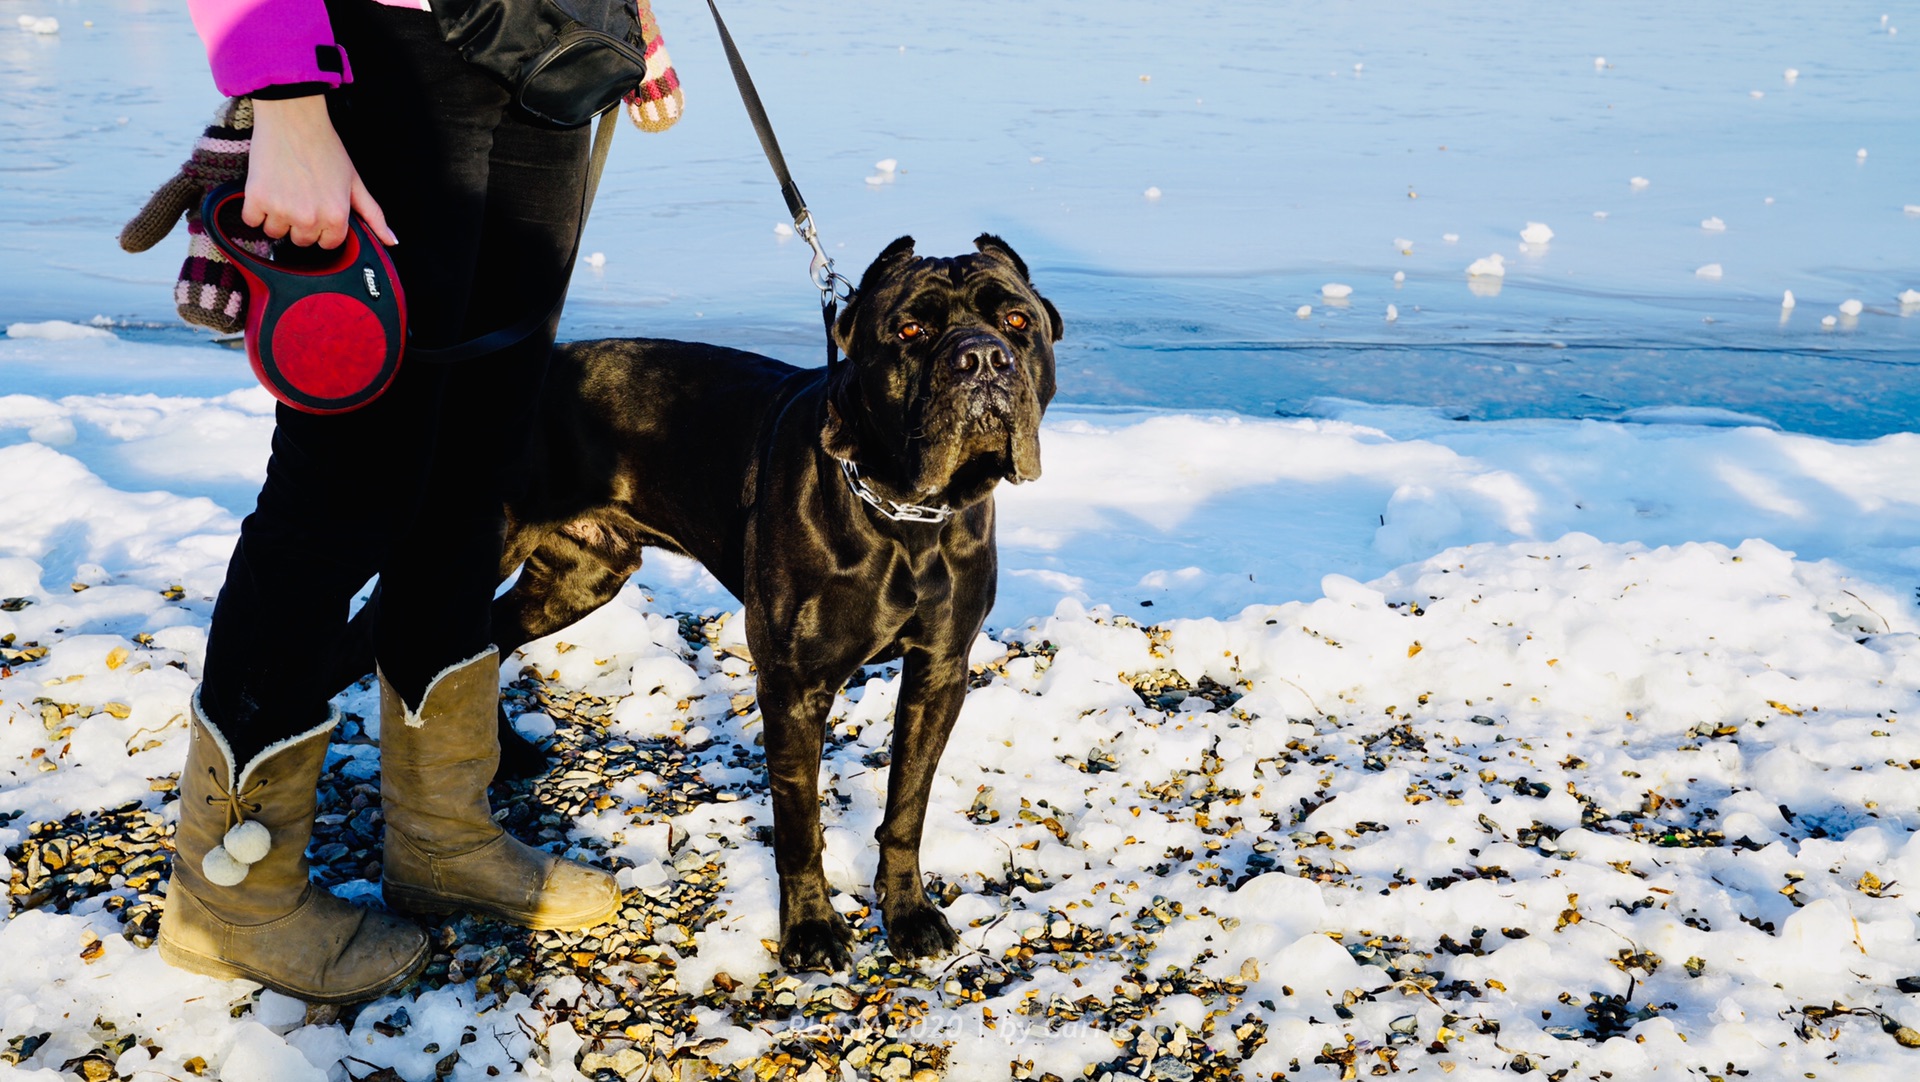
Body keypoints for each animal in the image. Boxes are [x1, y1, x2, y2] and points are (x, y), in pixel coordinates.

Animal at [334, 235, 1067, 963]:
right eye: (912, 331)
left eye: (1017, 322)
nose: (982, 359)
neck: (904, 518)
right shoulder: (794, 685)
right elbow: (799, 822)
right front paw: (810, 928)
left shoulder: (939, 670)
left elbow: (907, 803)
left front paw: (909, 913)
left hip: (578, 581)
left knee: (487, 637)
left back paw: (508, 753)